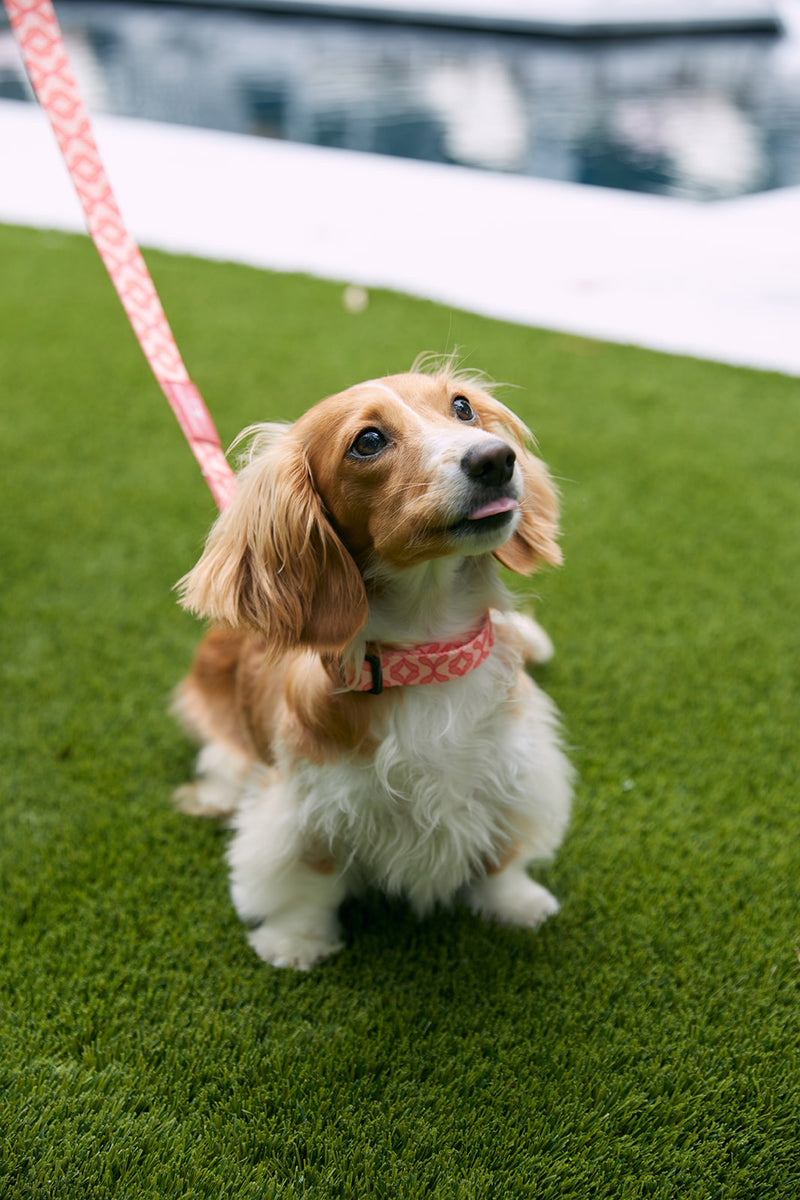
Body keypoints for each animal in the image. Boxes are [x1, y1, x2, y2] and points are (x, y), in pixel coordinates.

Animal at [175, 360, 575, 969]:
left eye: (462, 408)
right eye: (368, 441)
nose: (494, 458)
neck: (428, 655)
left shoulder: (515, 771)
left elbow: (500, 852)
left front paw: (516, 903)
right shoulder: (303, 809)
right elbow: (309, 879)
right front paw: (297, 941)